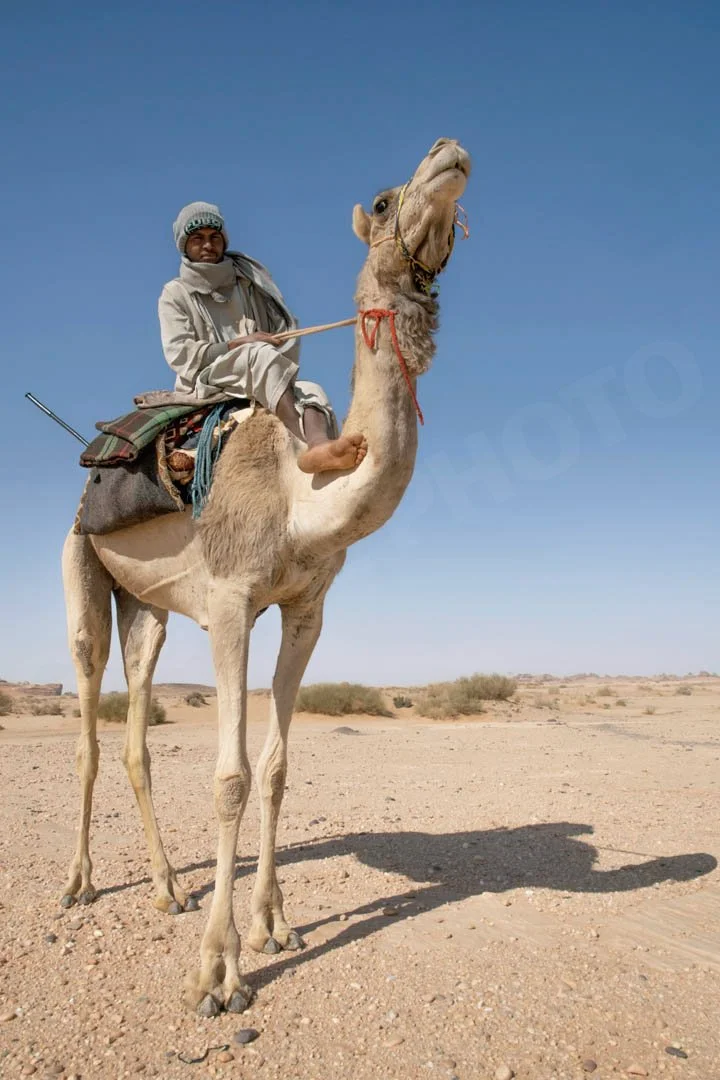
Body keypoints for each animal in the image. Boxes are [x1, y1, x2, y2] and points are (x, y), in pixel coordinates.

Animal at [59, 137, 471, 1016]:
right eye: (382, 201)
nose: (448, 152)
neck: (299, 497)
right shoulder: (229, 602)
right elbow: (231, 778)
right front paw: (217, 973)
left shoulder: (305, 609)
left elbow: (279, 769)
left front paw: (272, 926)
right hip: (82, 565)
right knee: (87, 711)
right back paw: (80, 884)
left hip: (146, 606)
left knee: (138, 724)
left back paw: (167, 887)